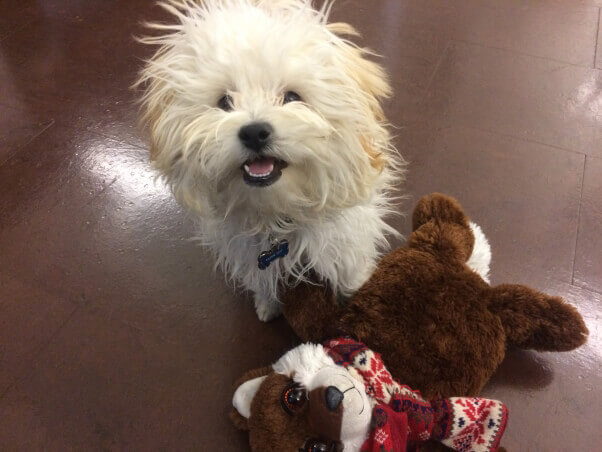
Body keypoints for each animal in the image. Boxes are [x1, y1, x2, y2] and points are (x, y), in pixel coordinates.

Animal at [136, 1, 404, 324]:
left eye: (291, 97)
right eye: (225, 102)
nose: (254, 132)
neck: (276, 215)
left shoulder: (346, 240)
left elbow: (350, 274)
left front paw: (357, 299)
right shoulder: (249, 254)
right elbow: (263, 281)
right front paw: (267, 305)